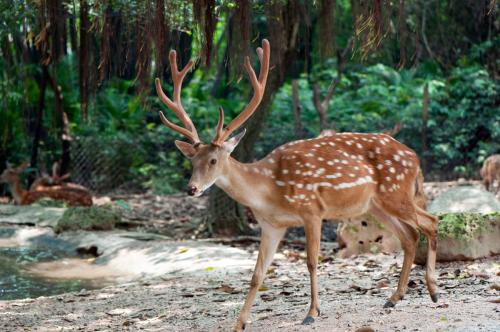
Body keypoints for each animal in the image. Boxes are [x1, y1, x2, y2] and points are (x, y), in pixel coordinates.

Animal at [154, 39, 440, 330]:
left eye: (213, 160)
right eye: (191, 161)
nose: (192, 188)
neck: (270, 189)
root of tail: (415, 157)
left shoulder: (311, 210)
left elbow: (312, 262)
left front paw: (312, 313)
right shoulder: (271, 225)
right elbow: (257, 274)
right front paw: (239, 323)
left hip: (396, 192)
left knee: (430, 222)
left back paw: (433, 291)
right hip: (375, 205)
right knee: (409, 236)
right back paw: (394, 297)